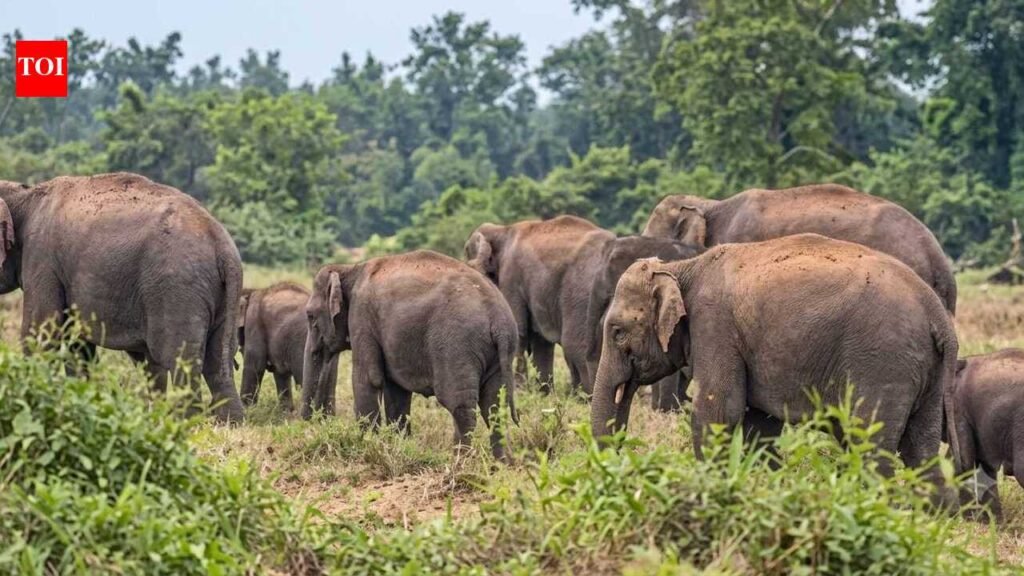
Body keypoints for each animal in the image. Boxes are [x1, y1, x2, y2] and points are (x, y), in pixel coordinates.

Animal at [0, 173, 245, 422]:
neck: (26, 194)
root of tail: (222, 246)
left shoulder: (42, 259)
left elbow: (40, 334)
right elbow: (78, 345)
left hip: (179, 288)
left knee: (180, 360)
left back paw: (187, 422)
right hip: (219, 295)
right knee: (217, 361)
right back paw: (230, 423)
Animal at [237, 282, 338, 413]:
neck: (250, 291)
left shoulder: (253, 323)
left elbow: (255, 366)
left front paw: (246, 410)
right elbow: (281, 373)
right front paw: (286, 412)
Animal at [302, 250, 519, 458]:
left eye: (310, 316)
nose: (308, 427)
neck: (350, 269)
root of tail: (498, 321)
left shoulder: (362, 316)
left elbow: (368, 378)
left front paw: (365, 445)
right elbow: (396, 391)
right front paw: (398, 446)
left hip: (458, 346)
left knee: (460, 406)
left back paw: (461, 462)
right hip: (500, 352)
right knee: (494, 408)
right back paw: (500, 464)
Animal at [465, 215, 614, 392]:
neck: (502, 230)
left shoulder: (511, 277)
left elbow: (519, 332)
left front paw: (520, 390)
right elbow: (542, 343)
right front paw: (543, 393)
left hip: (581, 293)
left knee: (574, 344)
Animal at [591, 234, 959, 489]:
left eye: (618, 332)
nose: (620, 458)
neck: (682, 269)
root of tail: (937, 316)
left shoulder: (715, 327)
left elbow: (718, 413)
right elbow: (760, 425)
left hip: (883, 362)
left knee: (869, 446)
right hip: (928, 373)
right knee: (921, 451)